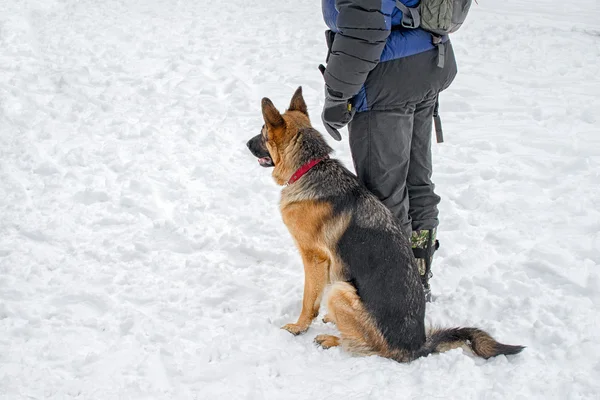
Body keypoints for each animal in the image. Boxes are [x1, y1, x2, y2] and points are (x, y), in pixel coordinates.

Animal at [246, 87, 524, 362]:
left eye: (262, 131)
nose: (246, 143)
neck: (309, 167)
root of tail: (416, 346)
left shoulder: (314, 258)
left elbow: (308, 300)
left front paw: (299, 326)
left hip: (340, 291)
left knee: (367, 348)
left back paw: (331, 339)